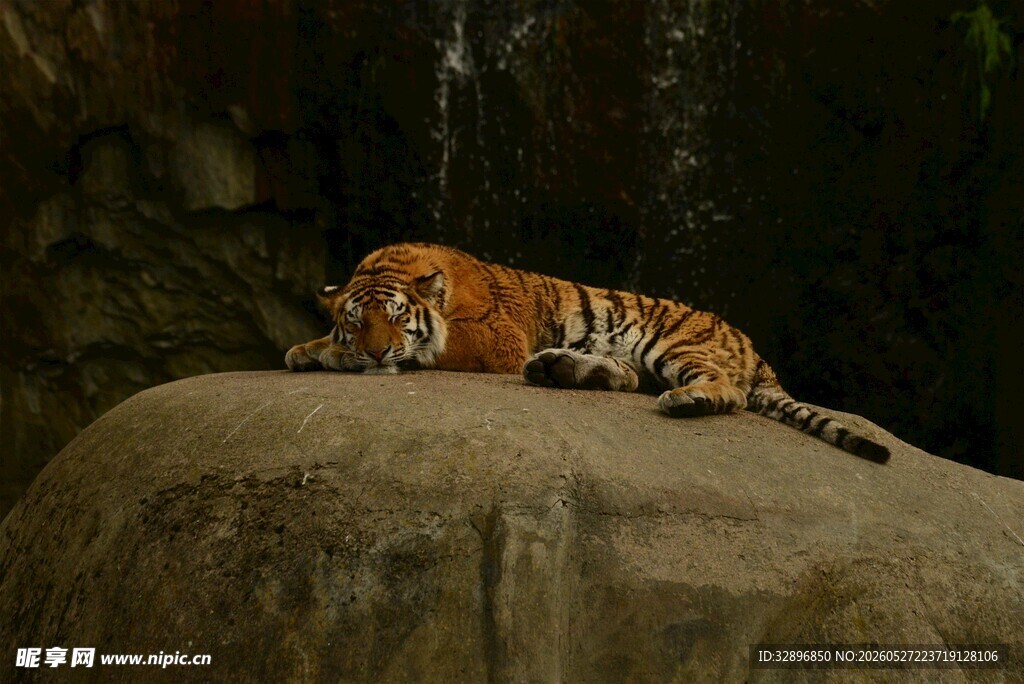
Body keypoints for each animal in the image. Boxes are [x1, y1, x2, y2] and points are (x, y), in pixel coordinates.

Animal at [286, 242, 890, 463]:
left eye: (395, 318)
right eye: (357, 321)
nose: (374, 354)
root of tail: (754, 347)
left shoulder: (494, 338)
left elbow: (431, 347)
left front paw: (336, 356)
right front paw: (309, 348)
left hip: (673, 344)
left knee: (726, 391)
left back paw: (686, 400)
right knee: (626, 377)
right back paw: (564, 368)